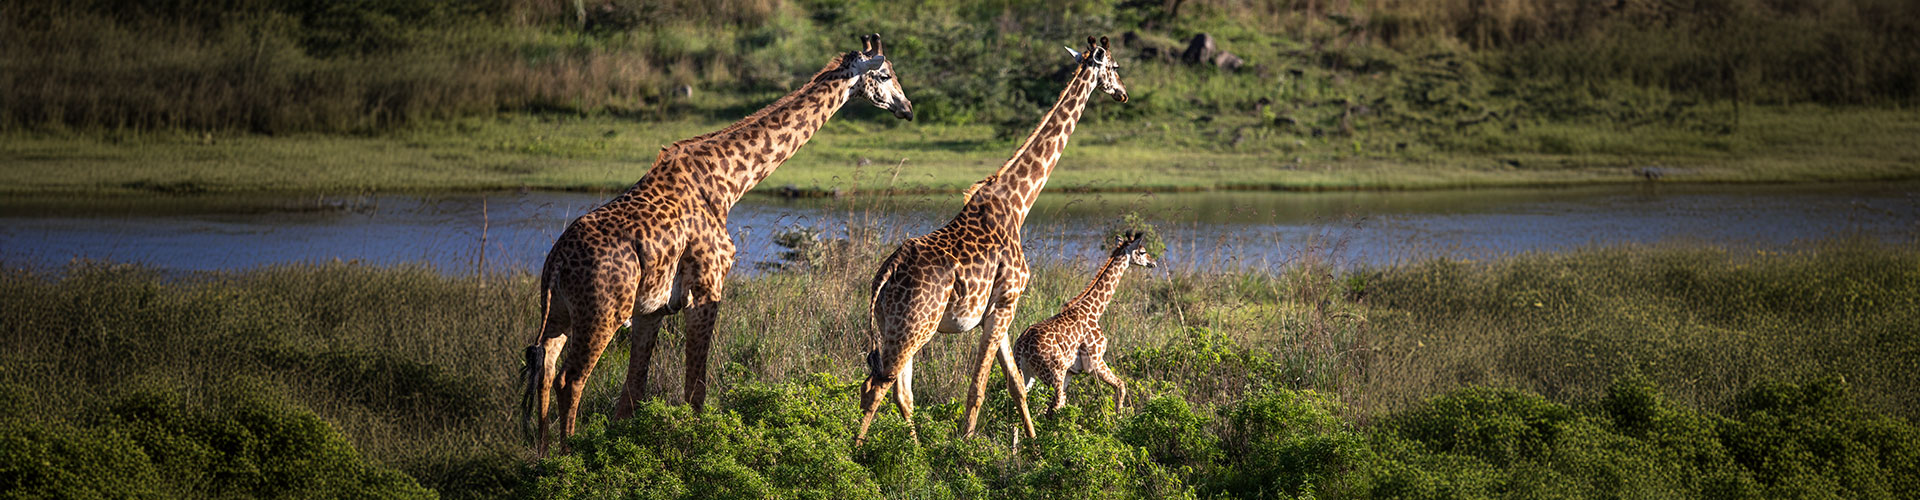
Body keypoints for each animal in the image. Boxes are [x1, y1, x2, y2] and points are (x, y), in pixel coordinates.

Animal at [526, 34, 913, 457]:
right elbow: (695, 389)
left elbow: (633, 393)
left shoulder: (652, 310)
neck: (726, 183)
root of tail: (555, 263)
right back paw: (568, 455)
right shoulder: (706, 288)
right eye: (886, 74)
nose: (907, 108)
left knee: (544, 368)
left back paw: (544, 457)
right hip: (602, 314)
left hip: (560, 314)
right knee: (571, 379)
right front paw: (697, 449)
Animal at [856, 36, 1121, 446]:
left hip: (894, 326)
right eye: (1115, 67)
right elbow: (978, 386)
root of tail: (884, 275)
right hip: (917, 326)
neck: (1017, 203)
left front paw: (1032, 445)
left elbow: (1015, 385)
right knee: (876, 387)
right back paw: (857, 453)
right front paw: (965, 447)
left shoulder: (999, 311)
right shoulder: (1006, 302)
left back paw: (913, 450)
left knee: (900, 390)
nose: (1123, 93)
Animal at [1013, 231, 1144, 413]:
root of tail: (1022, 345)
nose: (1153, 262)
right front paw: (1118, 416)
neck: (1094, 310)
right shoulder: (1095, 361)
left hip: (1027, 373)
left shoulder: (1070, 372)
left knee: (1022, 401)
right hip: (1053, 373)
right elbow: (1120, 384)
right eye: (1143, 251)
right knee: (1055, 404)